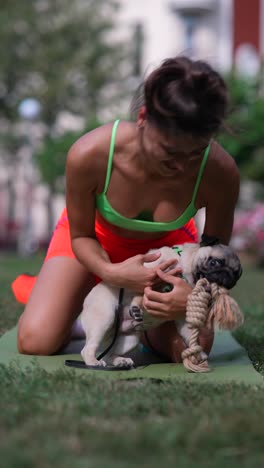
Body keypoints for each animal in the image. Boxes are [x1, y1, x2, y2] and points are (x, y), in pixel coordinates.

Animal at [80, 241, 241, 370]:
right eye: (215, 263)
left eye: (236, 276)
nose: (226, 276)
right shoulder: (151, 270)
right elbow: (143, 289)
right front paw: (137, 306)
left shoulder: (183, 319)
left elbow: (190, 336)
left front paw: (198, 352)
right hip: (104, 319)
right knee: (88, 348)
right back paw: (93, 362)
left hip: (130, 339)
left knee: (108, 354)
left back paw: (120, 361)